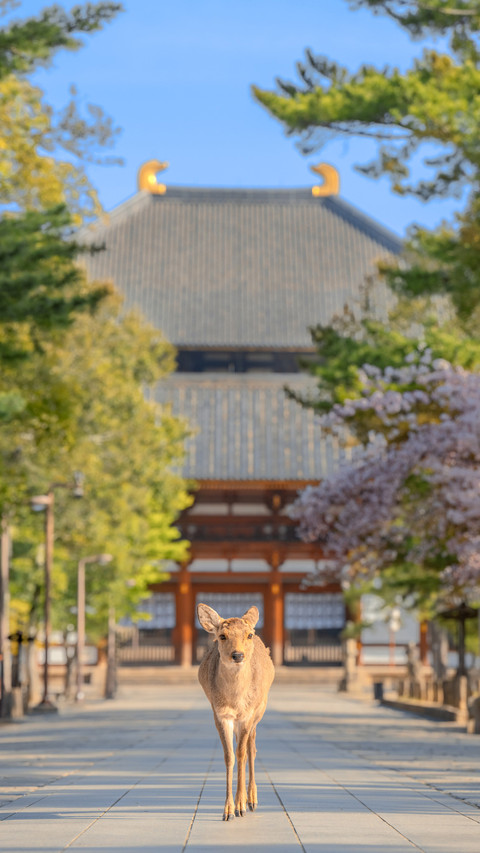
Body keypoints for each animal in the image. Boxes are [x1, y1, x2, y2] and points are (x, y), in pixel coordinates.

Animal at [197, 602, 275, 821]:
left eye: (249, 635)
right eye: (222, 636)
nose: (238, 655)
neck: (236, 701)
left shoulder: (248, 715)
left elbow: (241, 753)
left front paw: (240, 806)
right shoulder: (220, 715)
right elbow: (229, 756)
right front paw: (228, 810)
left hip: (260, 710)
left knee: (251, 748)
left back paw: (252, 800)